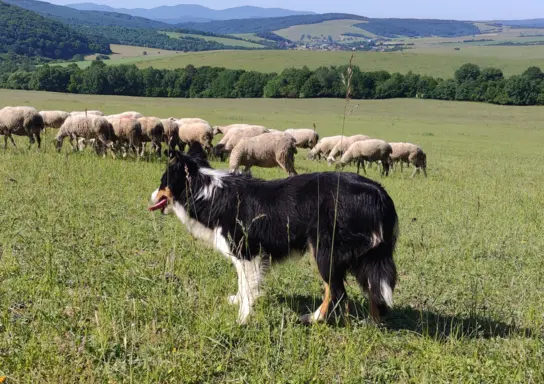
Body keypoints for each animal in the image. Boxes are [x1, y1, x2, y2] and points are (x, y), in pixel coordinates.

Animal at [150, 142, 400, 326]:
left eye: (162, 182)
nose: (150, 197)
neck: (207, 192)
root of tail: (378, 192)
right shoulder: (246, 255)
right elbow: (242, 283)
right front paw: (237, 301)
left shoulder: (247, 252)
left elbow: (248, 287)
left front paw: (242, 319)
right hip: (366, 256)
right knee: (372, 289)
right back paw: (372, 324)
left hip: (325, 251)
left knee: (337, 292)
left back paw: (313, 318)